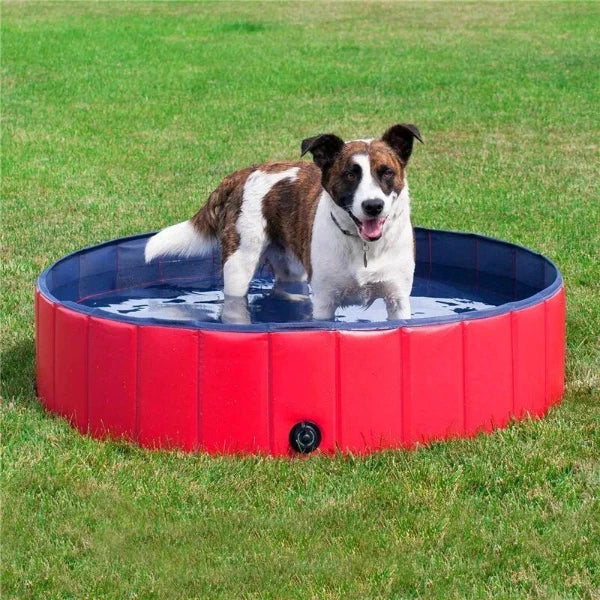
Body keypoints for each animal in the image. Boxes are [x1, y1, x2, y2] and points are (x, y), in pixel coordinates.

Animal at [145, 123, 422, 324]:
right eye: (350, 175)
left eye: (387, 172)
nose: (373, 206)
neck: (363, 245)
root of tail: (244, 172)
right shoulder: (325, 301)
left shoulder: (398, 299)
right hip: (239, 264)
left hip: (288, 262)